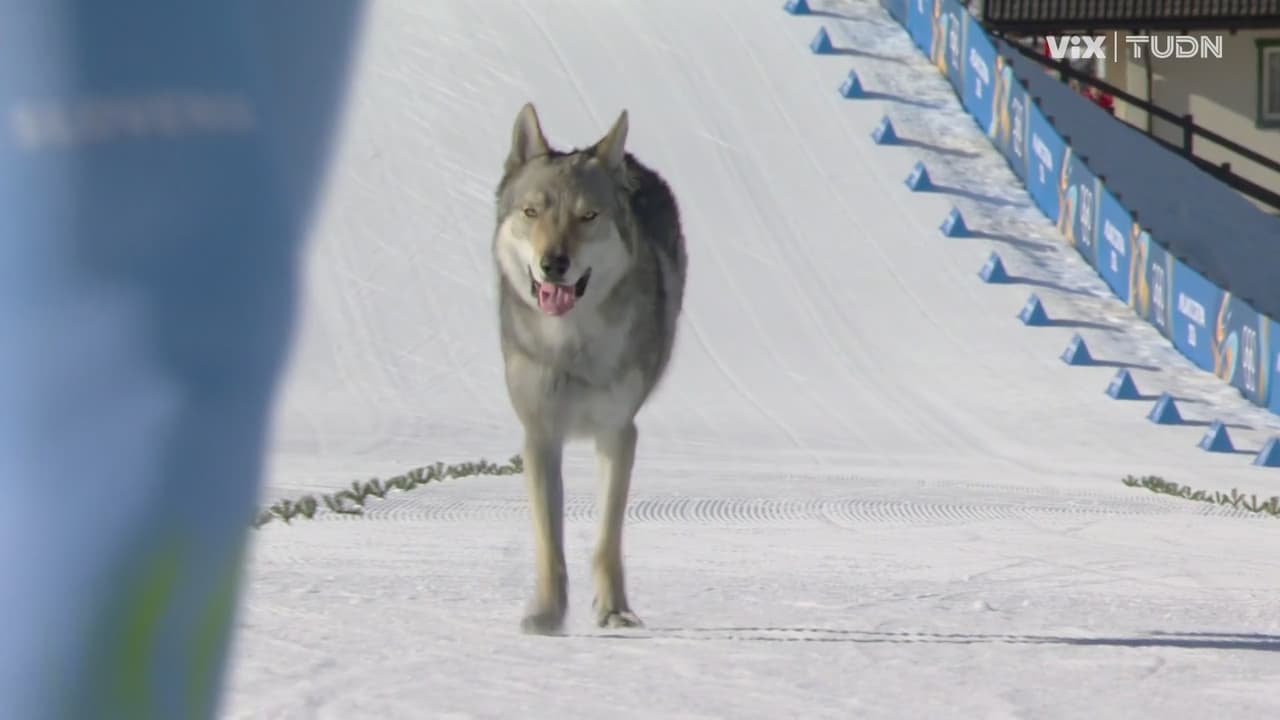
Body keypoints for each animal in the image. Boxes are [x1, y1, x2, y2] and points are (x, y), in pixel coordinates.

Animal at [491, 102, 687, 634]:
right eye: (532, 212)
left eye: (587, 216)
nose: (553, 263)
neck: (571, 348)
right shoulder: (539, 435)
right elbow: (549, 544)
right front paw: (546, 614)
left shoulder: (618, 433)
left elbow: (605, 540)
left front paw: (615, 611)